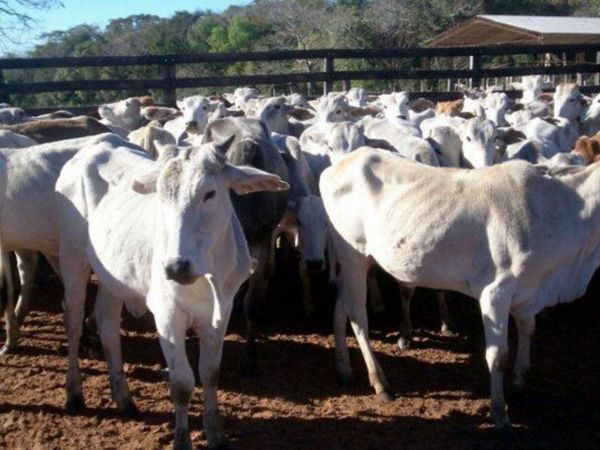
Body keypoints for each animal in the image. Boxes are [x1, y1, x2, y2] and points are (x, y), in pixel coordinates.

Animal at [56, 137, 288, 450]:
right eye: (161, 196)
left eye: (209, 193)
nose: (176, 266)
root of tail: (89, 151)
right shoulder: (167, 317)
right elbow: (181, 384)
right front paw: (181, 440)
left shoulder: (220, 314)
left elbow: (210, 374)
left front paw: (215, 435)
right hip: (72, 259)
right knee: (73, 320)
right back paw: (74, 394)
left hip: (112, 276)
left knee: (107, 323)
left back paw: (124, 399)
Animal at [322, 147, 600, 428]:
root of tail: (339, 165)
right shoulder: (494, 293)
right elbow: (497, 356)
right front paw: (499, 412)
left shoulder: (527, 292)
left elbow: (528, 331)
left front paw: (519, 381)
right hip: (353, 252)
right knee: (358, 317)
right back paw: (381, 383)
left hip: (356, 259)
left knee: (341, 305)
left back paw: (343, 368)